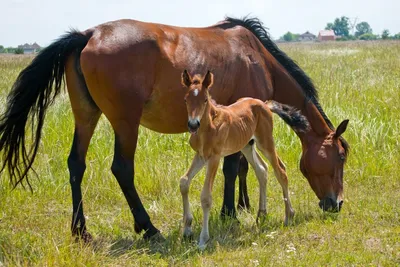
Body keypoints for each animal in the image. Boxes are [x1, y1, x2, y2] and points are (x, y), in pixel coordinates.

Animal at [179, 70, 310, 249]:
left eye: (205, 100)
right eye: (186, 100)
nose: (193, 125)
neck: (209, 125)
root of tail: (264, 104)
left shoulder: (214, 157)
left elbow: (206, 196)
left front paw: (203, 240)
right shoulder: (200, 156)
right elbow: (184, 182)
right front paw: (187, 230)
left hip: (265, 142)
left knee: (280, 170)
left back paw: (289, 215)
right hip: (247, 145)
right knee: (262, 169)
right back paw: (261, 215)